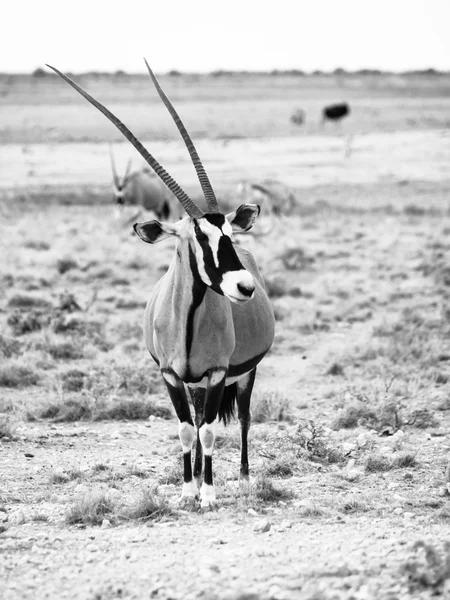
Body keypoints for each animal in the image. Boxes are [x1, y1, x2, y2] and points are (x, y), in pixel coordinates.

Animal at [47, 61, 276, 508]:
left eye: (228, 234)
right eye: (197, 237)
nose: (244, 286)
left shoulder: (218, 374)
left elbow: (209, 430)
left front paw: (209, 495)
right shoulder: (171, 375)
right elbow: (188, 429)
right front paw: (188, 490)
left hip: (243, 375)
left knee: (241, 418)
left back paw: (241, 479)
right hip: (197, 384)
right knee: (202, 421)